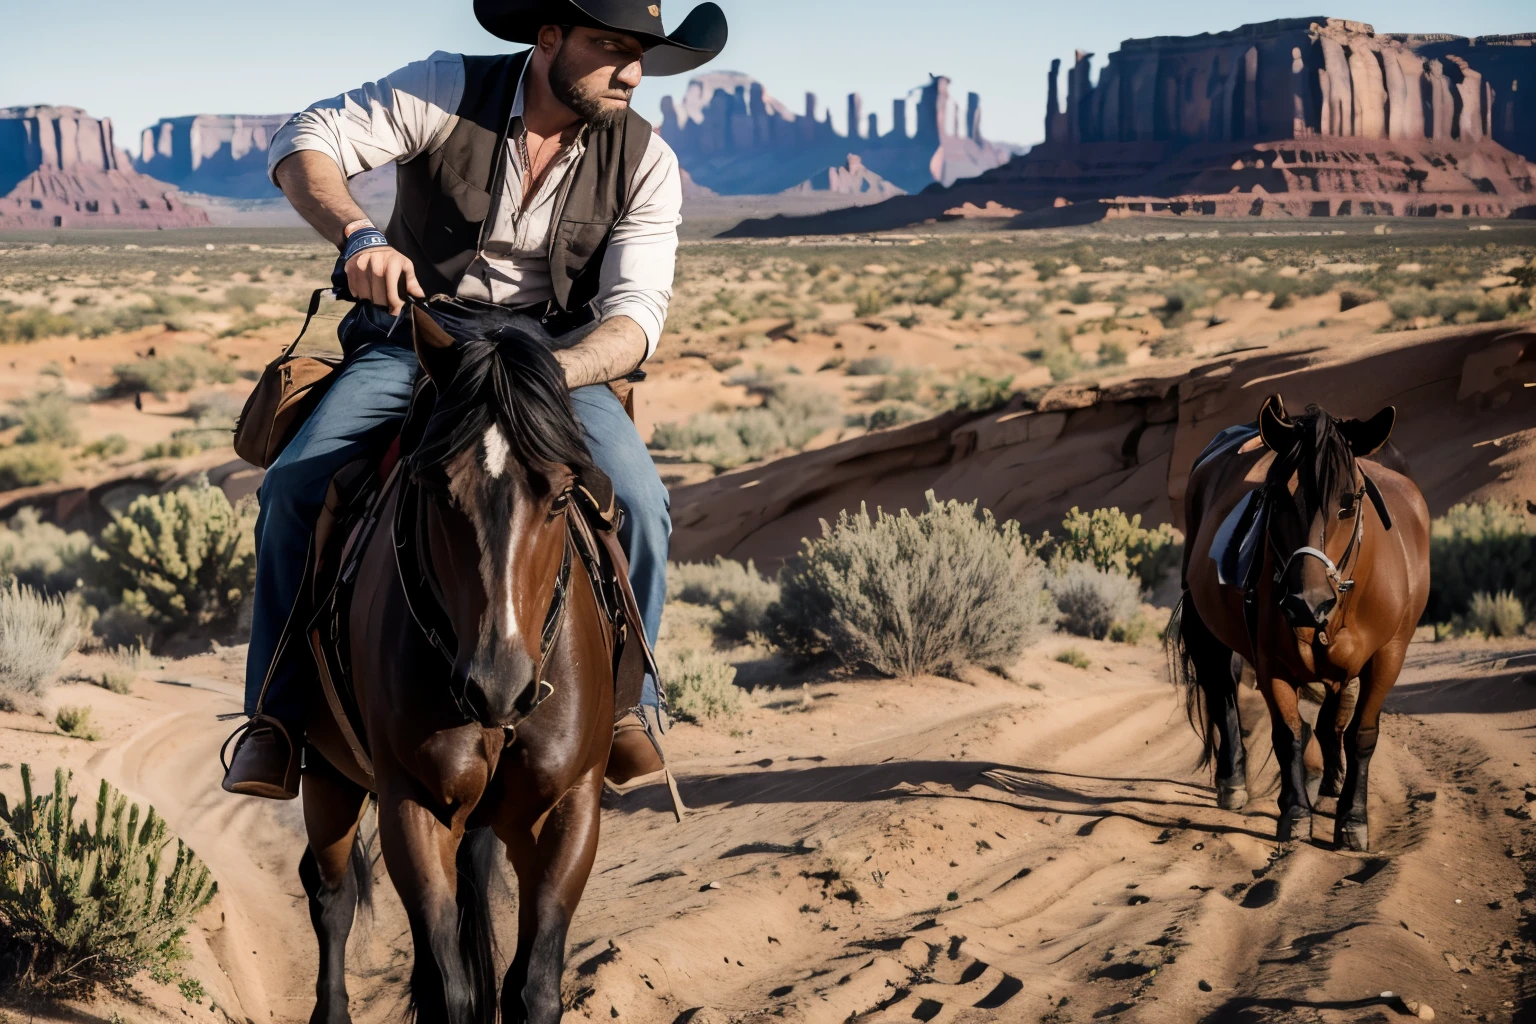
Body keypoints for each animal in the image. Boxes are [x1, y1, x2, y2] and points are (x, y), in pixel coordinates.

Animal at [294, 310, 617, 1024]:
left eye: (562, 496)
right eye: (437, 488)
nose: (498, 687)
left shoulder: (568, 806)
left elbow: (532, 988)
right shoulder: (413, 805)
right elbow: (453, 992)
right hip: (329, 770)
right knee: (330, 893)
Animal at [1167, 396, 1431, 853]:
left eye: (1349, 501)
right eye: (1276, 498)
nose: (1306, 602)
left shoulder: (1387, 657)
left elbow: (1358, 733)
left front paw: (1352, 818)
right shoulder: (1272, 662)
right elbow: (1288, 733)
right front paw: (1295, 813)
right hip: (1206, 625)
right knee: (1221, 687)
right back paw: (1233, 780)